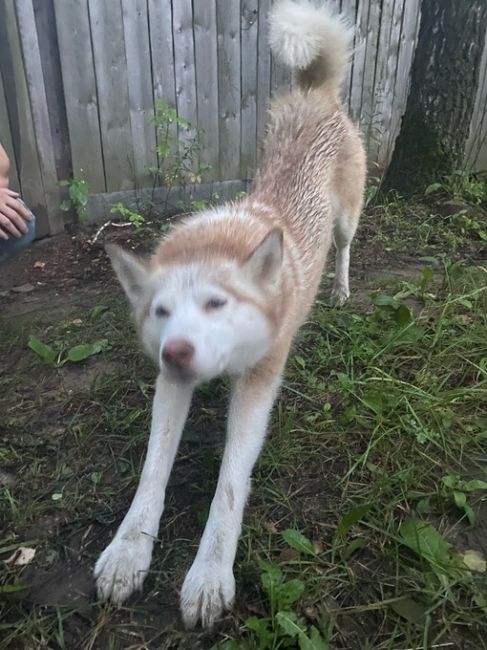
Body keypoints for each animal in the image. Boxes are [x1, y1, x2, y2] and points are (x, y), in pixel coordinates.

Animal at [94, 0, 366, 628]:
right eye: (161, 312)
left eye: (217, 303)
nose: (177, 351)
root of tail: (315, 92)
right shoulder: (170, 385)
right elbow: (152, 470)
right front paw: (128, 552)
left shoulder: (259, 383)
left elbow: (229, 486)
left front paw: (209, 574)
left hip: (347, 218)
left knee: (345, 248)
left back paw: (341, 290)